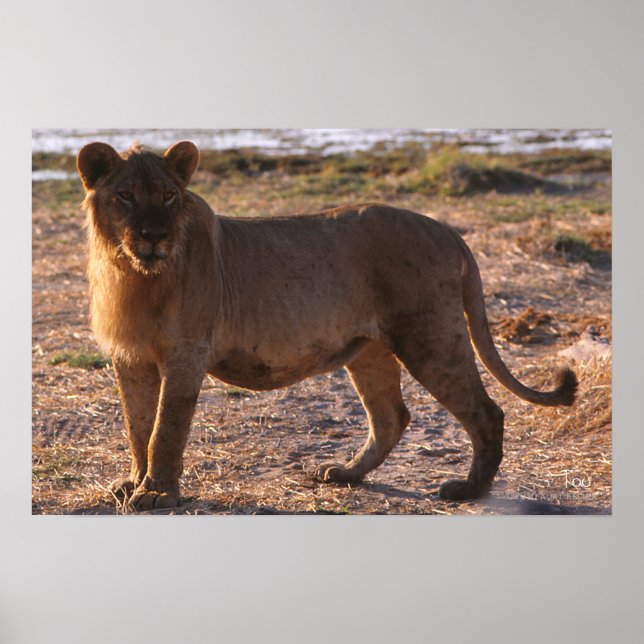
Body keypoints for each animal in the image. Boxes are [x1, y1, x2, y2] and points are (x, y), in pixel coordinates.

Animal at [76, 140, 577, 511]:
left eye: (168, 196)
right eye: (125, 196)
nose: (154, 235)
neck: (135, 274)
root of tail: (448, 231)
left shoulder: (187, 353)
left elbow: (166, 429)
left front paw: (157, 493)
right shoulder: (131, 357)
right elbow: (137, 426)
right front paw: (133, 483)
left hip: (431, 338)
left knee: (486, 412)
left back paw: (469, 489)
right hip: (371, 350)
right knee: (391, 416)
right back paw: (346, 473)